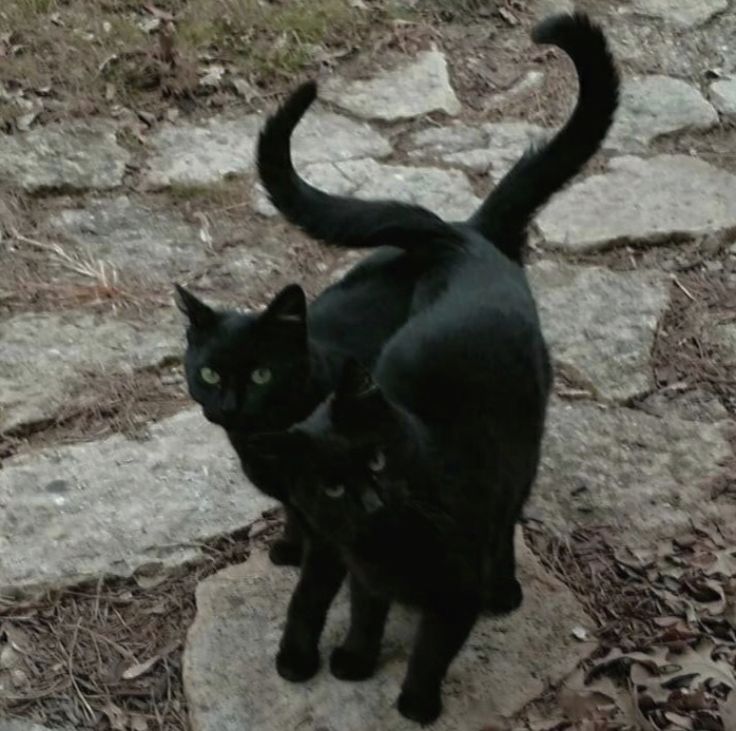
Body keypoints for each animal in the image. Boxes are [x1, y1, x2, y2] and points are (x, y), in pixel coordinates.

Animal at [178, 10, 620, 576]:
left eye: (261, 374)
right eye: (209, 373)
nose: (229, 405)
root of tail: (465, 233)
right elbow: (299, 517)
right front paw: (289, 549)